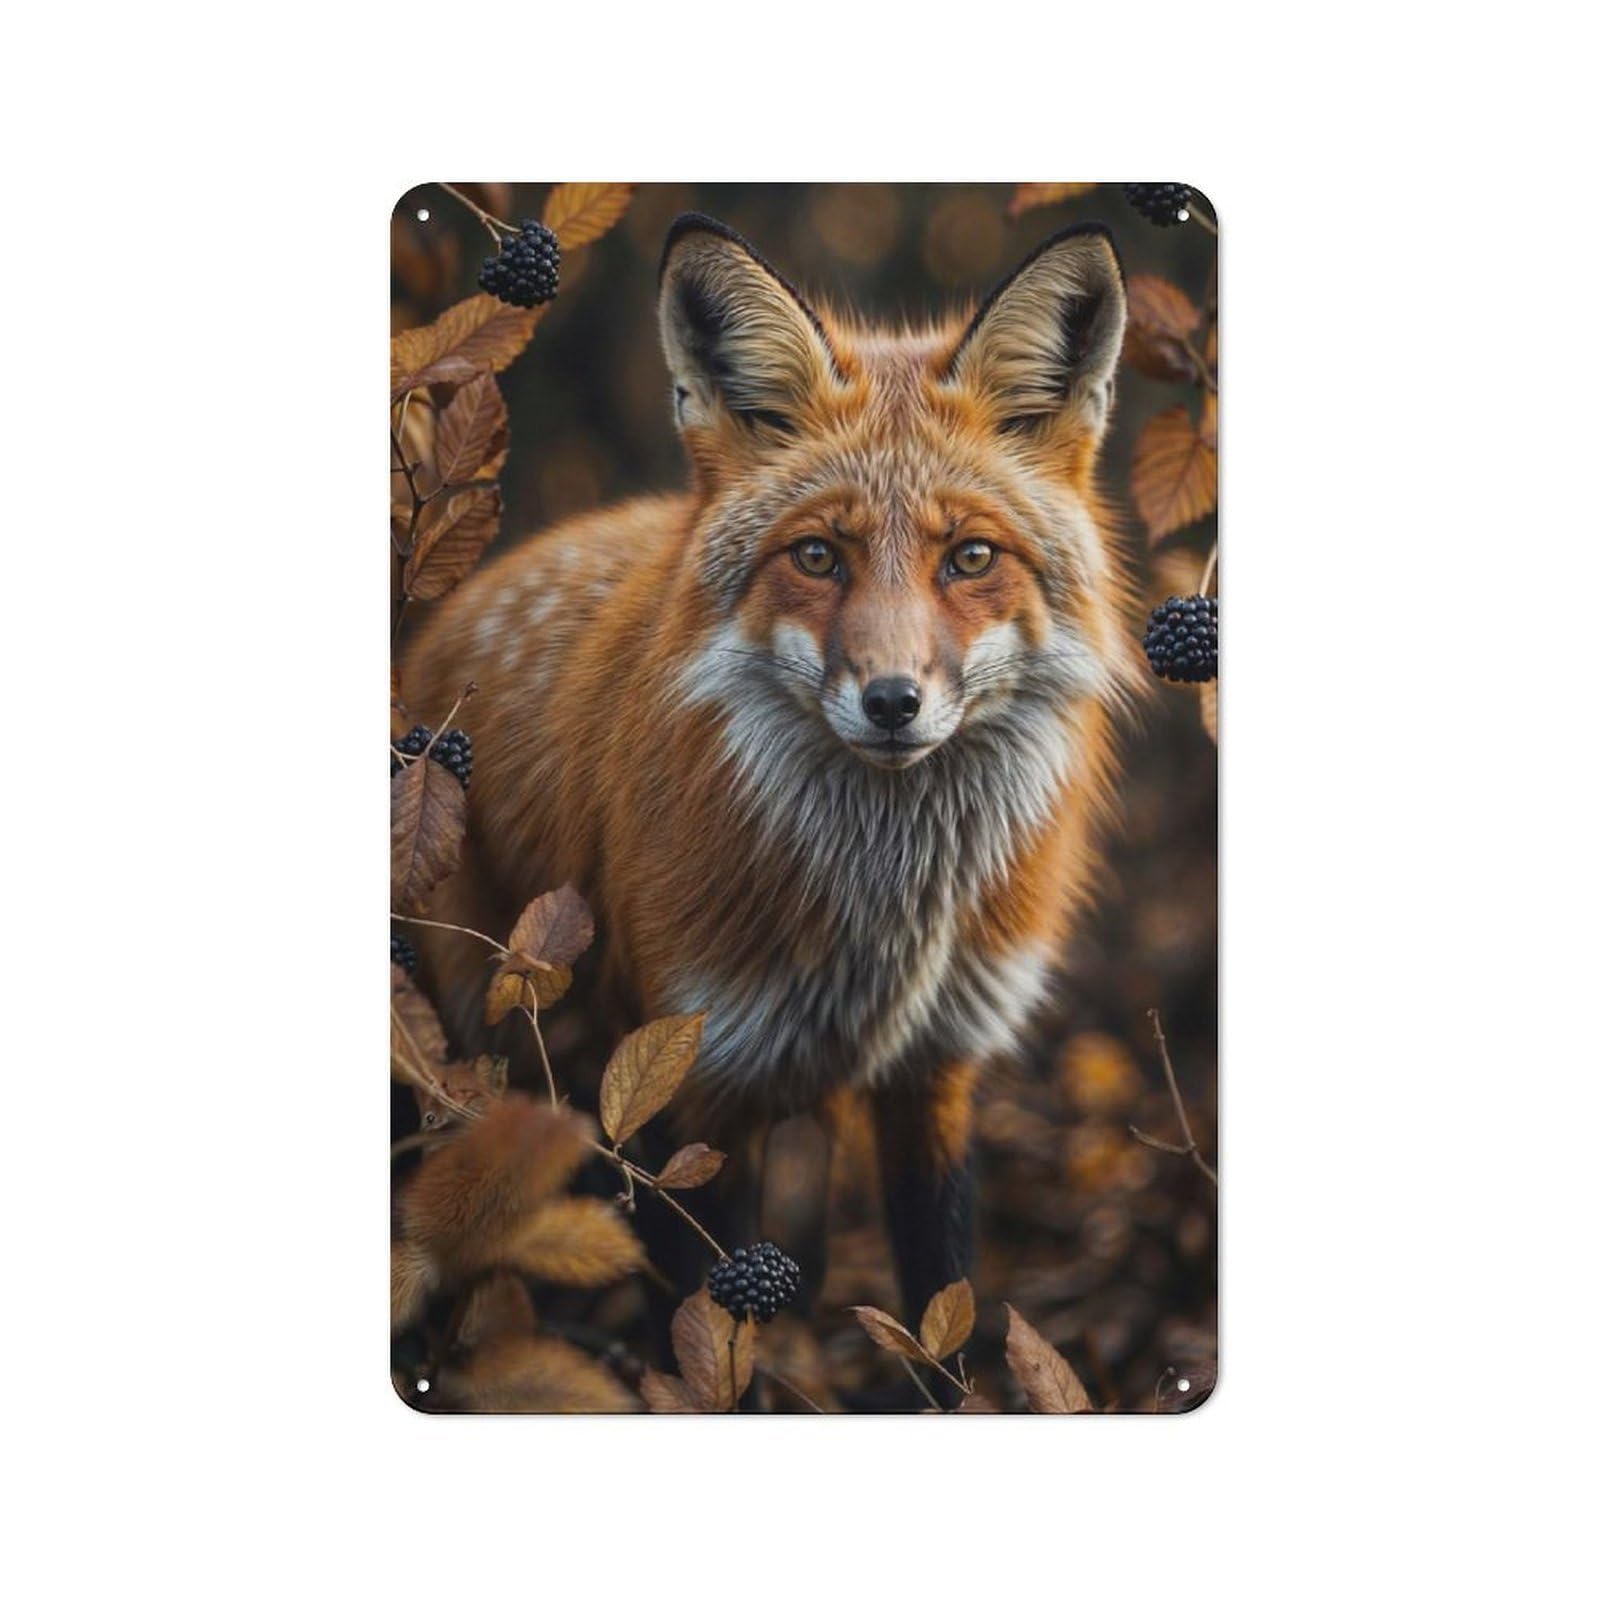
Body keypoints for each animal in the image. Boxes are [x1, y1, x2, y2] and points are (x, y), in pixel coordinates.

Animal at [401, 212, 1142, 1338]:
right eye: (818, 556)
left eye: (970, 558)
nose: (892, 701)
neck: (887, 925)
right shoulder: (691, 1077)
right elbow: (708, 1336)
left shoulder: (937, 1068)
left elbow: (945, 1301)